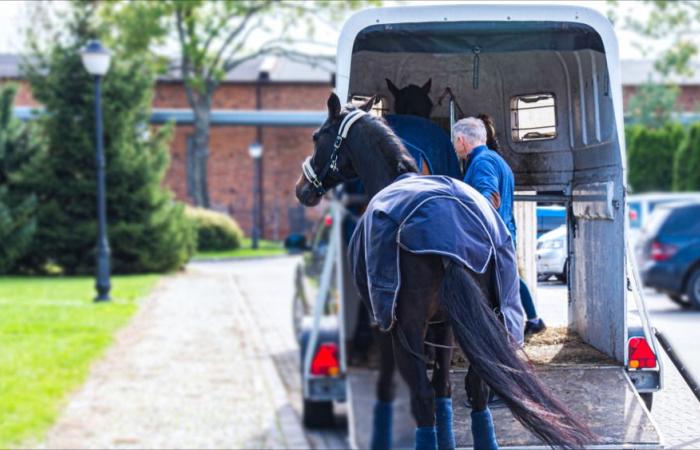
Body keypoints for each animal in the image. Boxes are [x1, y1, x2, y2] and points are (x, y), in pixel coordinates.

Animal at [292, 93, 592, 448]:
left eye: (317, 136)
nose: (302, 189)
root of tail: (451, 231)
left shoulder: (385, 324)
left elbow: (394, 390)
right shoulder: (444, 324)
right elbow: (443, 389)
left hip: (408, 328)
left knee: (421, 398)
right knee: (476, 390)